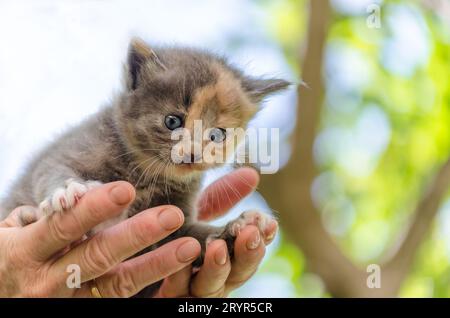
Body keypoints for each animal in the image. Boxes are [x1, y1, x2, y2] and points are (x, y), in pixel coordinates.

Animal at [0, 38, 288, 296]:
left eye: (217, 135)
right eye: (172, 121)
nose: (193, 154)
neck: (144, 172)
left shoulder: (177, 222)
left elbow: (194, 238)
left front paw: (239, 225)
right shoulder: (68, 149)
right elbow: (50, 171)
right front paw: (68, 190)